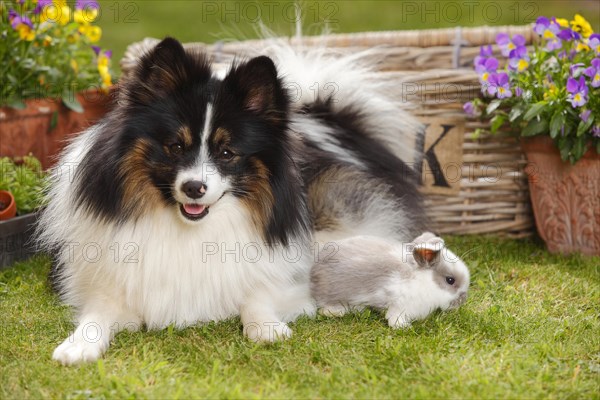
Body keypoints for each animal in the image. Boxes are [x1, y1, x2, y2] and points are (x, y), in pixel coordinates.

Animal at [36, 37, 468, 366]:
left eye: (227, 153)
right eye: (176, 146)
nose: (194, 188)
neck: (192, 230)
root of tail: (328, 121)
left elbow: (257, 295)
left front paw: (267, 327)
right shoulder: (103, 284)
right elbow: (97, 315)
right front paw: (77, 346)